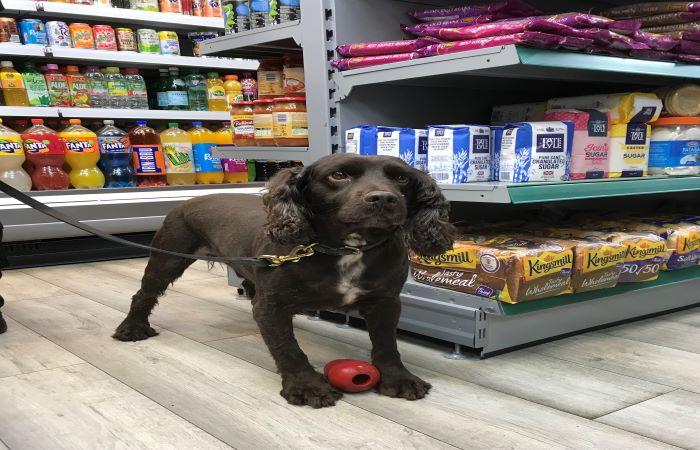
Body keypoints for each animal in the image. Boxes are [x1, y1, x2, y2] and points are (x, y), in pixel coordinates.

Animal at [113, 154, 454, 408]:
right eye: (339, 175)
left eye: (401, 179)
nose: (383, 198)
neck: (347, 248)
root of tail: (190, 199)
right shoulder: (272, 306)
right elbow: (287, 346)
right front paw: (307, 385)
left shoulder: (385, 302)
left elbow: (386, 344)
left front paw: (399, 379)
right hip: (167, 258)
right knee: (143, 295)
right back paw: (132, 328)